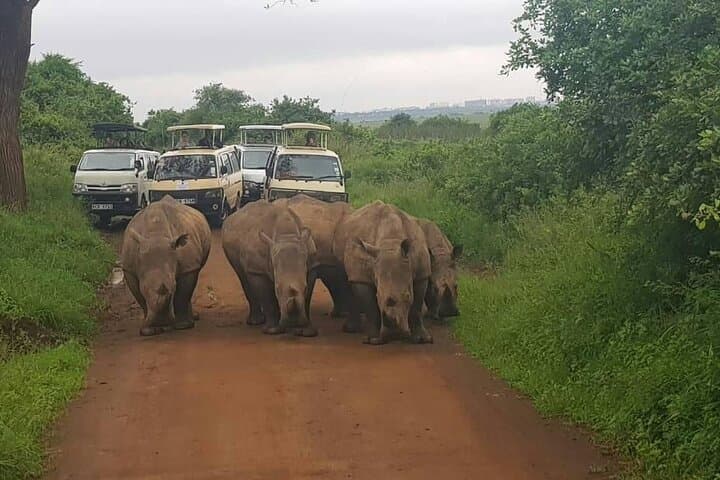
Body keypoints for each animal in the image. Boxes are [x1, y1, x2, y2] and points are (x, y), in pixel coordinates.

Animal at [120, 196, 211, 336]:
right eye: (143, 288)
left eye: (173, 287)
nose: (161, 323)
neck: (156, 235)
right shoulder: (129, 268)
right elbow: (140, 298)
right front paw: (149, 331)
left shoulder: (188, 266)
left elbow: (182, 294)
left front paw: (182, 326)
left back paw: (193, 318)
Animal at [222, 200, 318, 336]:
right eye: (277, 289)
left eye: (304, 288)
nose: (293, 322)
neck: (287, 236)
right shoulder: (258, 271)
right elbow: (267, 298)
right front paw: (273, 331)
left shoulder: (311, 266)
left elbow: (307, 298)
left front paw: (307, 332)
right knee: (243, 276)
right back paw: (255, 322)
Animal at [333, 201, 433, 345]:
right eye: (378, 296)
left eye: (408, 296)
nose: (394, 334)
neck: (391, 242)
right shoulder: (362, 276)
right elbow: (370, 307)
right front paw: (373, 340)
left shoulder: (422, 273)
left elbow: (417, 306)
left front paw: (422, 339)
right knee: (346, 279)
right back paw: (351, 329)